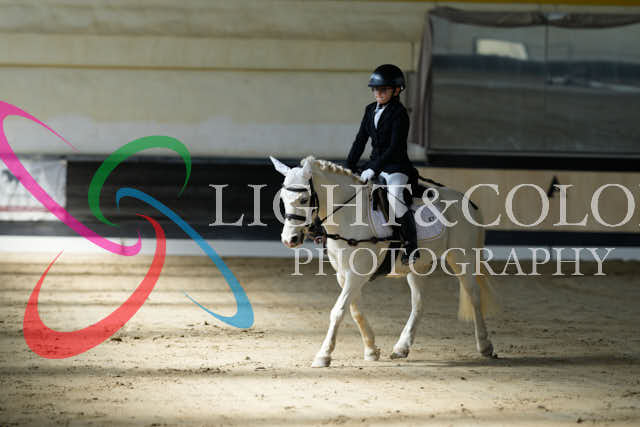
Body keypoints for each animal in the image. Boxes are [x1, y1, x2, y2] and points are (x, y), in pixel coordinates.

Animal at [271, 155, 500, 368]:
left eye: (303, 199)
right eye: (283, 199)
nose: (289, 240)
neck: (348, 214)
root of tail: (467, 201)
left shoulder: (357, 274)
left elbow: (338, 311)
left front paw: (323, 355)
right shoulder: (343, 275)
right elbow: (355, 311)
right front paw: (371, 350)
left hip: (462, 258)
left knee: (474, 296)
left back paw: (485, 346)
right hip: (418, 266)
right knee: (419, 303)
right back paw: (401, 348)